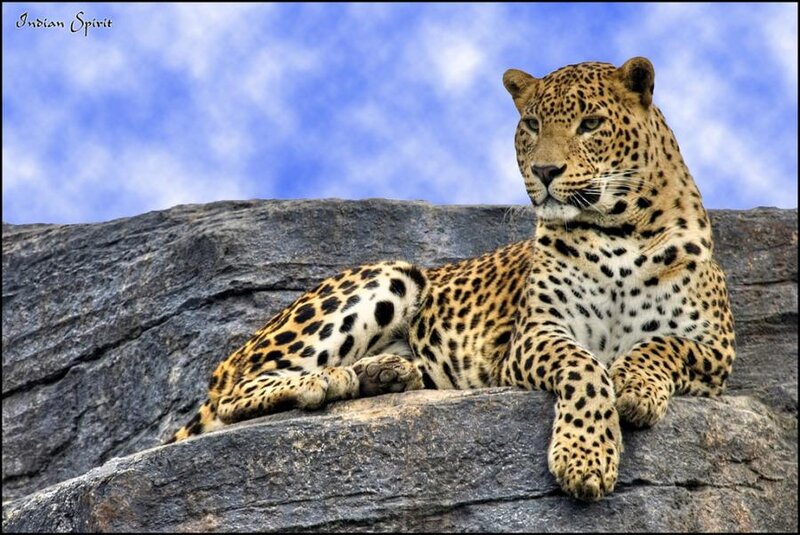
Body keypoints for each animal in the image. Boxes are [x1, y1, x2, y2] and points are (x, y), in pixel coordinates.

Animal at [166, 57, 736, 502]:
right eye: (531, 124)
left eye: (591, 123)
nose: (545, 171)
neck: (620, 230)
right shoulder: (536, 334)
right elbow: (585, 368)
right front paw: (584, 458)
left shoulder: (716, 350)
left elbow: (661, 345)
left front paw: (637, 390)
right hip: (391, 275)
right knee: (235, 389)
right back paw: (323, 380)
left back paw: (384, 373)